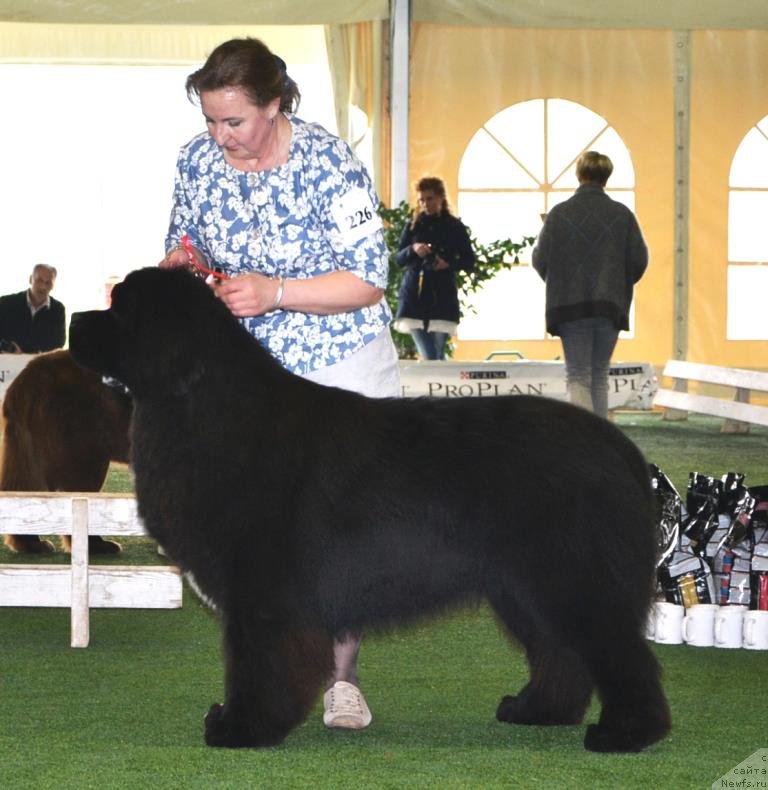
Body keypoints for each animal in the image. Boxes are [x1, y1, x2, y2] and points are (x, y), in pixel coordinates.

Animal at [69, 270, 668, 756]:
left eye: (118, 308)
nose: (74, 319)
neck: (199, 404)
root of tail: (622, 449)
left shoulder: (262, 596)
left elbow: (255, 664)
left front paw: (240, 729)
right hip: (523, 586)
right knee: (561, 650)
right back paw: (536, 712)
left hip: (572, 578)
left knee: (620, 653)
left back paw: (626, 734)